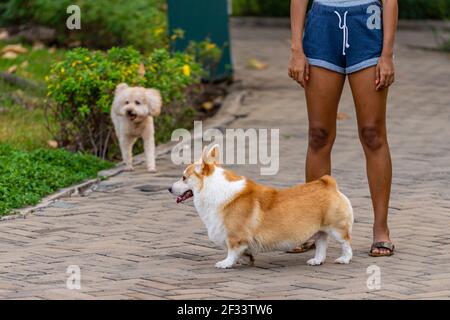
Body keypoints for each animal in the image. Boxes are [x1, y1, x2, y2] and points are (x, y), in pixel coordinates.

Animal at [167, 144, 354, 268]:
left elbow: (232, 250)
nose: (168, 188)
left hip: (336, 228)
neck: (213, 188)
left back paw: (344, 259)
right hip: (319, 230)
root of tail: (327, 183)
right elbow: (243, 251)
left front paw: (226, 263)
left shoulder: (234, 236)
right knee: (321, 244)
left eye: (183, 178)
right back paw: (316, 260)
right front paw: (246, 258)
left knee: (346, 243)